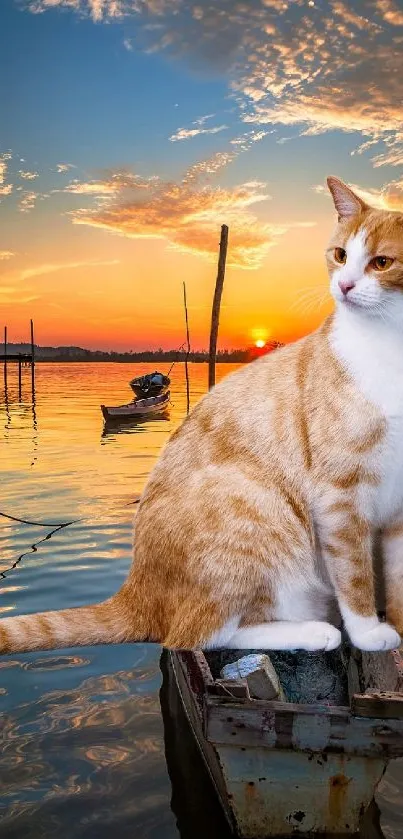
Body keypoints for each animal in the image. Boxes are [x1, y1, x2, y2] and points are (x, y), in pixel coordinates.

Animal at [2, 176, 403, 656]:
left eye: (382, 263)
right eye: (340, 255)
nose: (343, 285)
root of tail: (136, 589)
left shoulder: (399, 510)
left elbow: (396, 578)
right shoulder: (340, 497)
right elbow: (355, 574)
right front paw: (369, 633)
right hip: (251, 503)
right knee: (195, 634)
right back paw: (314, 631)